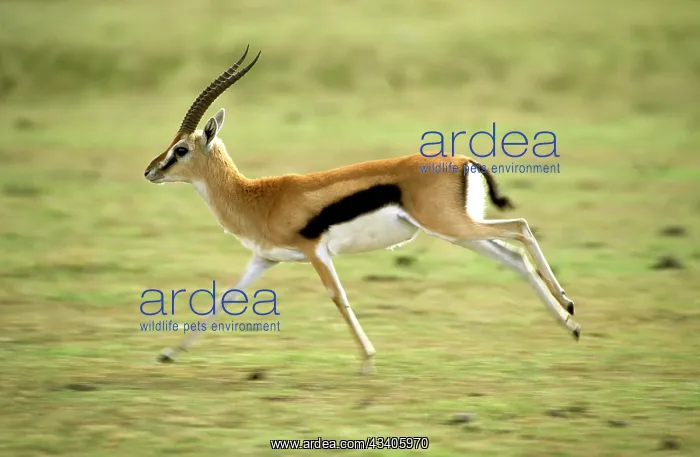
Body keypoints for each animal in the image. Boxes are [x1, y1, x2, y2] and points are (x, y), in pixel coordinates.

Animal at [144, 45, 581, 374]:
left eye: (180, 149)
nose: (149, 170)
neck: (258, 197)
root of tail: (464, 160)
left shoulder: (315, 251)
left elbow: (337, 297)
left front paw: (368, 359)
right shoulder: (264, 259)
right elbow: (225, 299)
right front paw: (169, 352)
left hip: (454, 226)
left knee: (520, 227)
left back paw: (569, 305)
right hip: (460, 231)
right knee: (515, 257)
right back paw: (570, 325)